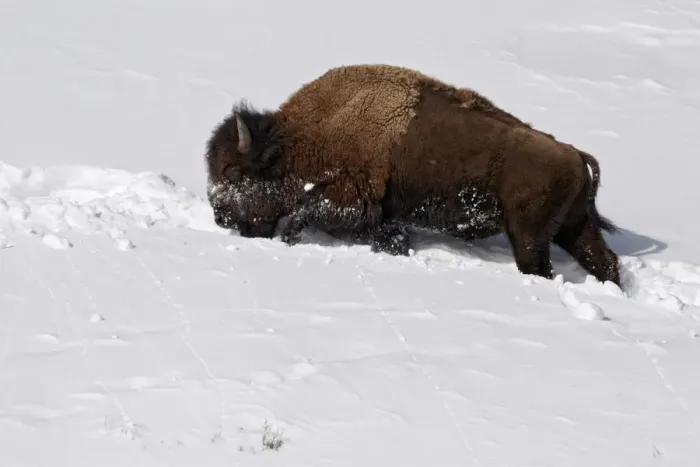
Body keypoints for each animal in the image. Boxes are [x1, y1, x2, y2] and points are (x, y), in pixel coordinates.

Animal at [204, 64, 621, 287]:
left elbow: (305, 214)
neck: (296, 140)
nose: (220, 216)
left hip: (529, 234)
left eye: (231, 170)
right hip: (572, 226)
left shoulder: (345, 200)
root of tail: (573, 153)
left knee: (541, 267)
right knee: (604, 261)